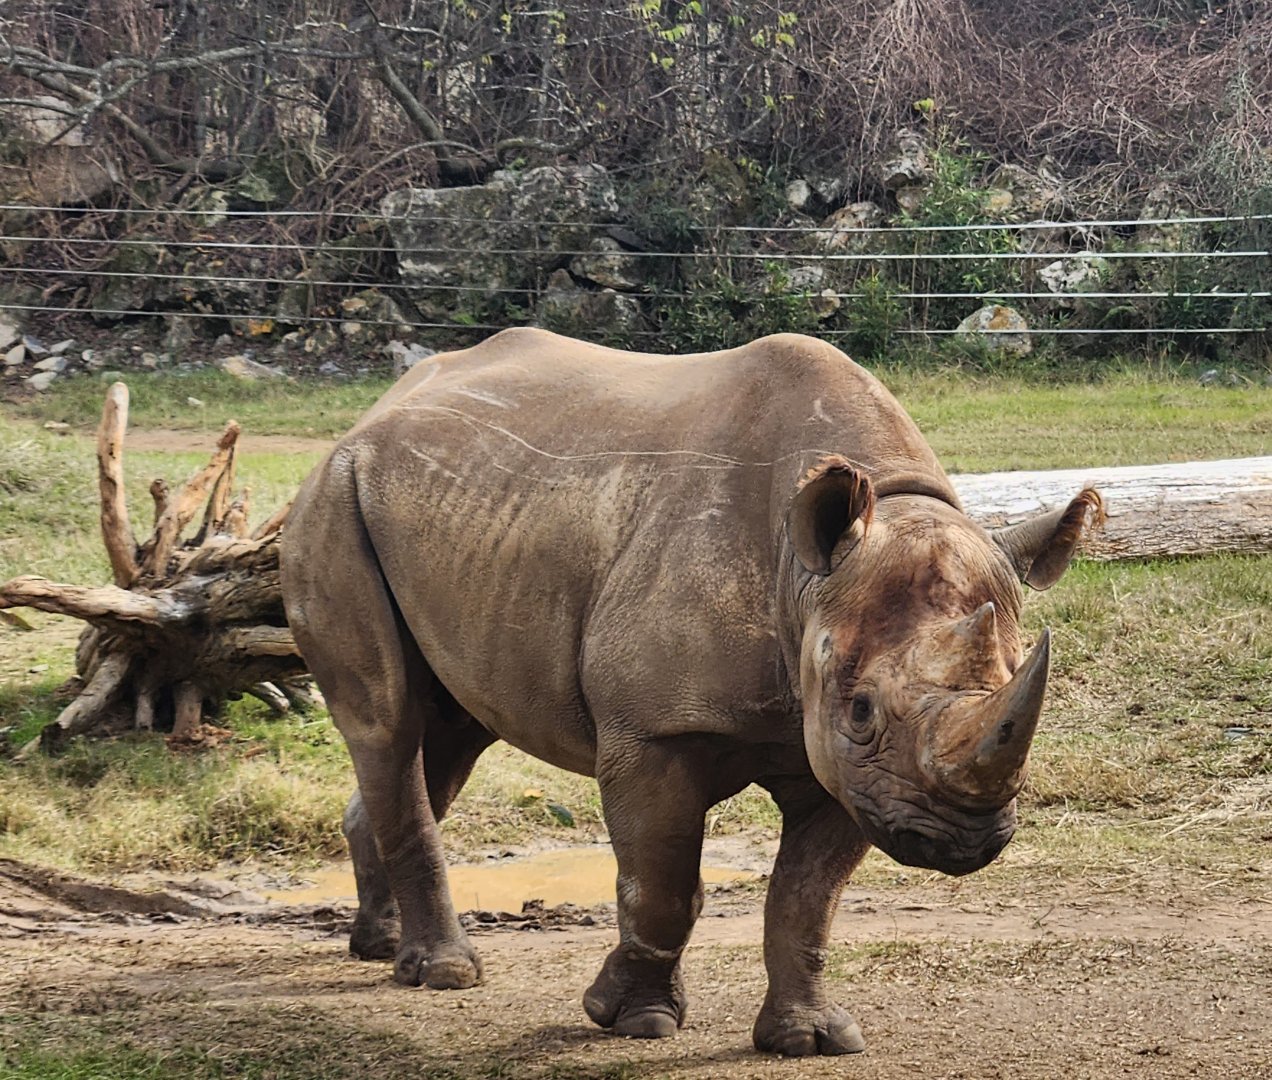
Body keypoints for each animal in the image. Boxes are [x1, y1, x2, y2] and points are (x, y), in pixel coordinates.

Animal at [280, 328, 1100, 1056]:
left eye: (1013, 682)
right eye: (863, 710)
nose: (964, 842)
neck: (806, 576)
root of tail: (371, 415)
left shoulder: (851, 768)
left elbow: (807, 898)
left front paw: (806, 1040)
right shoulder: (660, 732)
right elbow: (663, 884)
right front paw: (632, 1020)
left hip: (451, 518)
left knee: (449, 734)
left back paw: (378, 946)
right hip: (334, 499)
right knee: (388, 724)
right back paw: (445, 973)